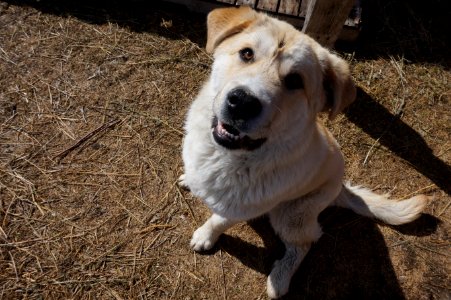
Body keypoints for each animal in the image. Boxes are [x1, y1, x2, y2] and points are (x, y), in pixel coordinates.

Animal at [179, 6, 428, 298]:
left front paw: (206, 236)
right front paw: (190, 179)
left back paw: (280, 279)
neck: (229, 157)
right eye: (247, 54)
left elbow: (218, 221)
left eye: (295, 81)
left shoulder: (237, 210)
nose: (241, 103)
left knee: (306, 242)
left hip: (289, 216)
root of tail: (341, 187)